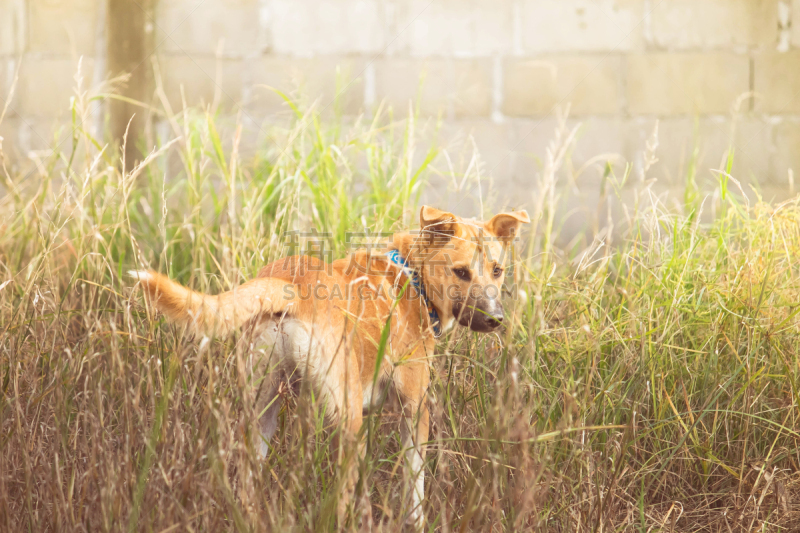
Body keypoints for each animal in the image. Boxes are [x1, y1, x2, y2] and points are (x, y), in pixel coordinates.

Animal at [131, 205, 532, 528]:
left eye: (498, 271)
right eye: (461, 272)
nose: (495, 319)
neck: (410, 276)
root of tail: (292, 284)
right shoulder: (414, 409)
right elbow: (415, 485)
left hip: (261, 409)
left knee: (248, 481)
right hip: (346, 424)